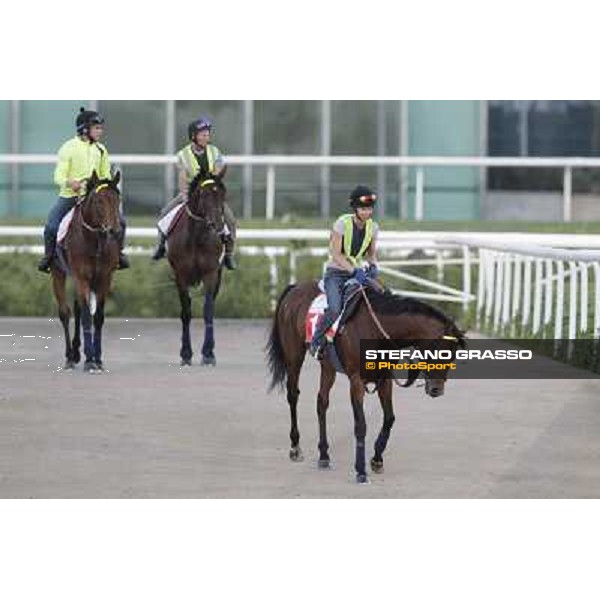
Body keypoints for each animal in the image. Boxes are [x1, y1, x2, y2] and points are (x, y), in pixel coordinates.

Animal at [51, 171, 122, 372]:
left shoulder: (104, 278)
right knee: (65, 312)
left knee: (77, 309)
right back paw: (69, 357)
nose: (114, 231)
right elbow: (86, 318)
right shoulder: (81, 277)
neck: (93, 240)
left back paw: (76, 353)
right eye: (99, 201)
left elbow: (97, 317)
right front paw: (90, 361)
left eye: (118, 200)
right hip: (58, 273)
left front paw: (97, 359)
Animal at [165, 171, 226, 364]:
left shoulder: (211, 273)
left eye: (223, 194)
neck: (196, 237)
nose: (218, 225)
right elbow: (186, 312)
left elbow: (208, 310)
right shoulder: (180, 275)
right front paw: (185, 353)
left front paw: (208, 353)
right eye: (204, 195)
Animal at [264, 284, 466, 486]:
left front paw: (377, 460)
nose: (436, 389)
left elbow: (389, 419)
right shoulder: (356, 381)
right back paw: (295, 447)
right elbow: (361, 425)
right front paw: (360, 471)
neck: (375, 330)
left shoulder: (385, 380)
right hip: (294, 356)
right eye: (442, 351)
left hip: (328, 366)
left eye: (454, 354)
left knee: (322, 402)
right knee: (293, 395)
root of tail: (295, 288)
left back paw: (324, 455)